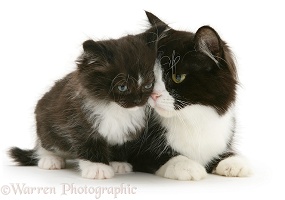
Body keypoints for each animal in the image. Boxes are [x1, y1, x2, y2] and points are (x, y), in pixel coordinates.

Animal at [8, 24, 166, 180]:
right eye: (122, 87)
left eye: (148, 85)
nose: (139, 100)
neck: (114, 107)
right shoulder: (79, 120)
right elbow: (89, 143)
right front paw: (98, 167)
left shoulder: (126, 129)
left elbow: (119, 143)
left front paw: (117, 162)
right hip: (46, 124)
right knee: (46, 144)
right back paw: (50, 159)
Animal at [125, 11, 251, 180]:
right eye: (150, 76)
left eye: (178, 77)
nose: (153, 95)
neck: (191, 117)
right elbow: (156, 154)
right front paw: (186, 165)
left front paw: (233, 161)